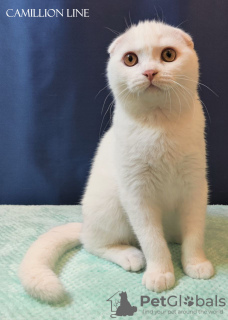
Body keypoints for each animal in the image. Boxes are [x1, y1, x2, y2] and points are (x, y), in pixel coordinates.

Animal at [19, 20, 214, 302]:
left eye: (168, 55)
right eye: (130, 59)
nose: (150, 72)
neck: (159, 127)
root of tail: (85, 223)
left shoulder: (196, 187)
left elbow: (195, 233)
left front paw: (196, 263)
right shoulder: (137, 194)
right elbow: (152, 240)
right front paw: (161, 272)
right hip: (111, 205)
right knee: (94, 243)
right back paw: (131, 255)